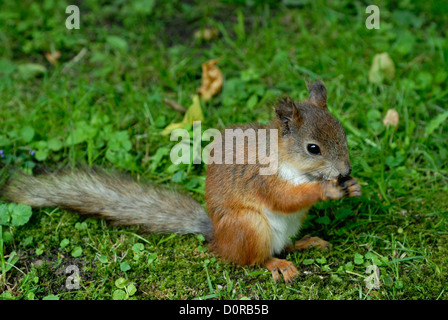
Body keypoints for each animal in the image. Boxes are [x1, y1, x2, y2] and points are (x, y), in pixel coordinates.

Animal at [2, 80, 360, 282]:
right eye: (313, 148)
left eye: (343, 132)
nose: (345, 171)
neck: (287, 161)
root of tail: (217, 237)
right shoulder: (263, 179)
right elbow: (285, 198)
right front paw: (325, 189)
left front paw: (352, 186)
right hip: (249, 227)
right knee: (252, 258)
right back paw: (278, 264)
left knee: (284, 244)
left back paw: (306, 242)